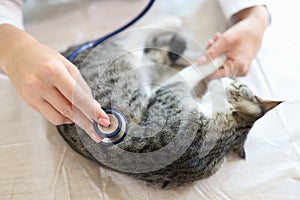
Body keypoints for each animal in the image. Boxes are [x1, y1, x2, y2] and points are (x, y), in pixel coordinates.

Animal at [56, 30, 282, 188]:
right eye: (242, 84)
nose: (231, 76)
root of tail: (66, 53)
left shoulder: (169, 92)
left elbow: (195, 69)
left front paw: (216, 59)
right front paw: (218, 56)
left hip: (124, 57)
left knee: (139, 42)